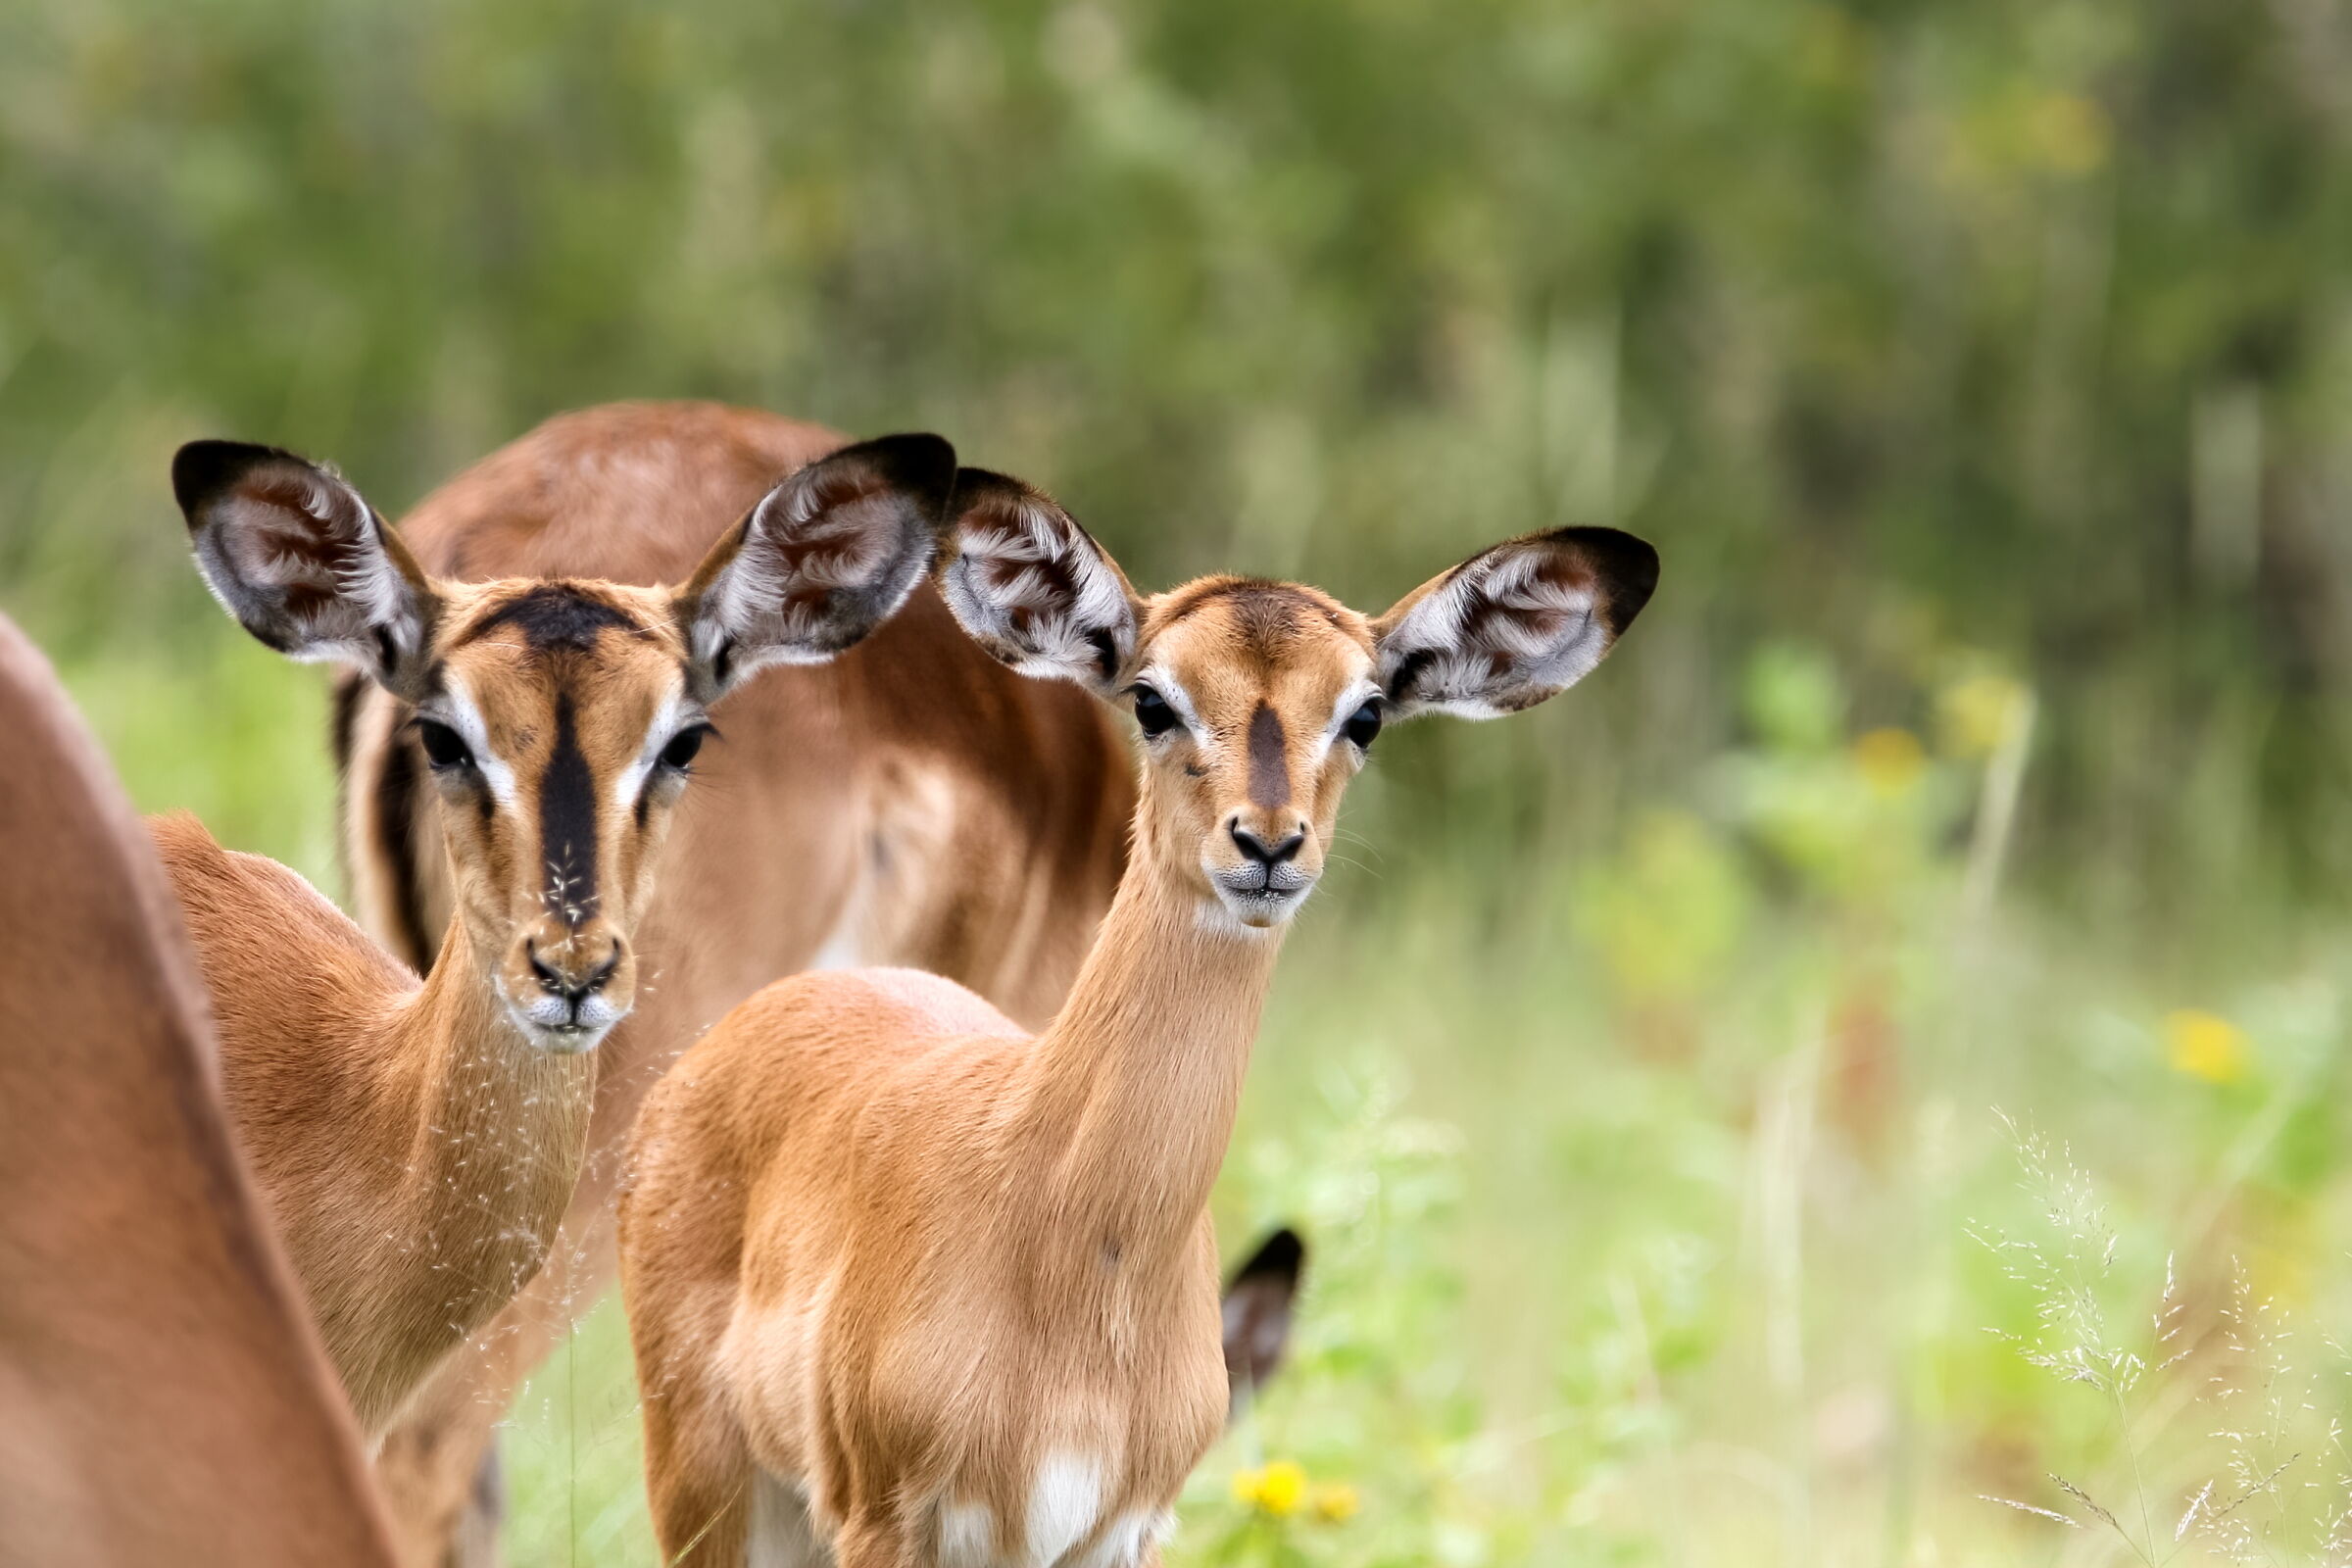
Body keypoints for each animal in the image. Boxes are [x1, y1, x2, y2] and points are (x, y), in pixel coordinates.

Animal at [616, 468, 1659, 1565]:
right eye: (1153, 699)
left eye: (1367, 713)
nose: (1268, 843)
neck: (1084, 1244)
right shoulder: (890, 1522)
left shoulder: (1122, 1532)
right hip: (710, 1493)